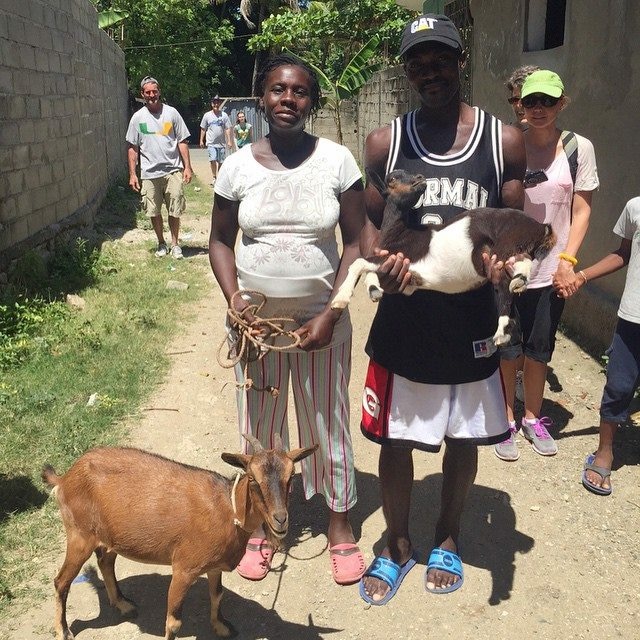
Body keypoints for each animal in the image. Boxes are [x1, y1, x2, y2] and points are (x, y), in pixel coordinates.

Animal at [42, 435, 317, 640]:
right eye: (252, 479)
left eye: (290, 477)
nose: (280, 520)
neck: (227, 511)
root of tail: (65, 478)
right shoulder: (184, 568)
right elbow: (173, 622)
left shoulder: (213, 566)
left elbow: (217, 595)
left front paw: (221, 628)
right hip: (79, 535)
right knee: (61, 581)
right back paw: (63, 630)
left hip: (109, 536)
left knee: (105, 562)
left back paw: (122, 604)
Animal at [331, 169, 556, 345]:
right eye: (393, 178)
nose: (420, 178)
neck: (400, 233)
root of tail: (540, 226)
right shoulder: (406, 277)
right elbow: (370, 270)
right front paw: (374, 291)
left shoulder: (404, 256)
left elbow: (359, 262)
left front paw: (339, 300)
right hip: (513, 252)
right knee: (521, 266)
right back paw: (519, 283)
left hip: (501, 251)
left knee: (504, 285)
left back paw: (501, 333)